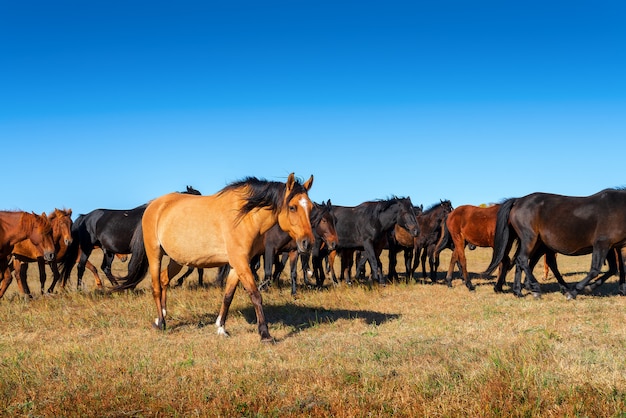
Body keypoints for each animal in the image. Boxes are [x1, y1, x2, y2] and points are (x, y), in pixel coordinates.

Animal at [59, 185, 199, 290]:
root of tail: (85, 216)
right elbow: (134, 267)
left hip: (108, 251)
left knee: (105, 268)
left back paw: (116, 286)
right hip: (87, 248)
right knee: (81, 266)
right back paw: (80, 289)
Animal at [115, 171, 314, 342]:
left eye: (311, 208)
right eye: (292, 207)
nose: (308, 243)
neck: (244, 216)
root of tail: (153, 205)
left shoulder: (237, 264)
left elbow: (228, 296)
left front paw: (221, 328)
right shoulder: (241, 263)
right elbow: (255, 295)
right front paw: (265, 334)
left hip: (176, 260)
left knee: (164, 280)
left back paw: (162, 316)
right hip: (154, 254)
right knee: (156, 286)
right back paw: (161, 323)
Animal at [486, 188, 626, 298]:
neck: (619, 208)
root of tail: (518, 200)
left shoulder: (612, 246)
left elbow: (615, 268)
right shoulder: (601, 244)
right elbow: (595, 270)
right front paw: (574, 292)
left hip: (537, 242)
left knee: (523, 261)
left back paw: (518, 292)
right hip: (530, 238)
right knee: (523, 259)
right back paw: (535, 288)